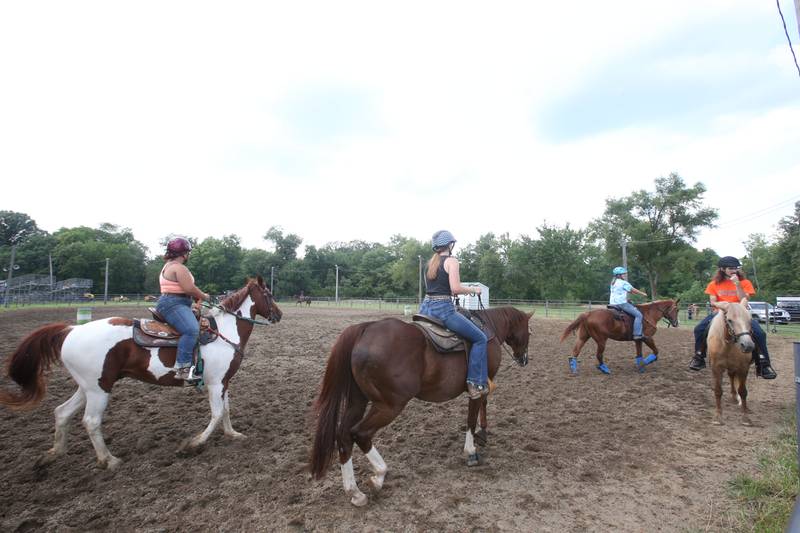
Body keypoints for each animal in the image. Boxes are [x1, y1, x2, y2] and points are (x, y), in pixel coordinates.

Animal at [0, 276, 282, 468]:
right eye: (268, 293)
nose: (278, 314)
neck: (225, 331)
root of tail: (71, 329)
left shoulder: (223, 382)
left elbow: (226, 410)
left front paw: (232, 434)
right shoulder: (215, 384)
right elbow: (217, 413)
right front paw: (193, 444)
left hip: (88, 387)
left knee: (62, 412)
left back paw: (54, 454)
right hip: (98, 390)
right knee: (90, 421)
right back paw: (109, 460)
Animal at [310, 306, 536, 504]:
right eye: (529, 332)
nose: (524, 359)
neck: (489, 329)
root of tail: (366, 328)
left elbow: (482, 406)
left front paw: (482, 435)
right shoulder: (479, 385)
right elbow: (472, 416)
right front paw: (471, 450)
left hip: (358, 401)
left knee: (343, 435)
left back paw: (354, 492)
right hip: (390, 405)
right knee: (360, 433)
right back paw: (379, 476)